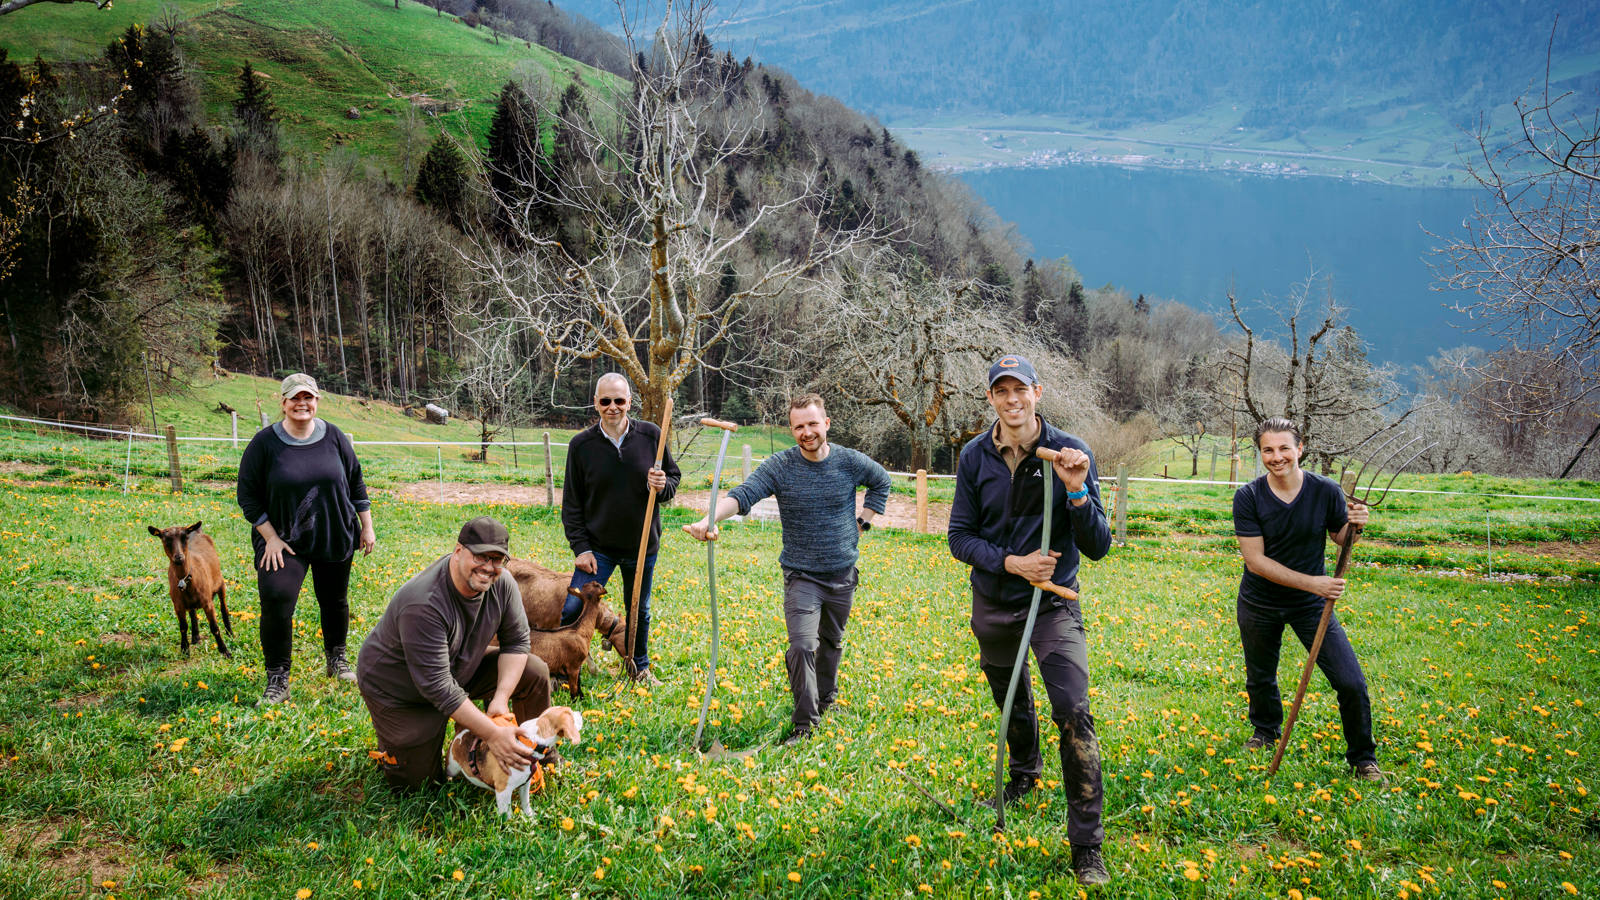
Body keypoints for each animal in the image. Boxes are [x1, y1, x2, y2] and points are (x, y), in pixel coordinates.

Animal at [147, 515, 230, 656]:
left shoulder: (207, 603)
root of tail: (197, 531)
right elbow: (183, 627)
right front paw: (184, 649)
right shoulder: (178, 606)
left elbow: (214, 627)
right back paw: (195, 637)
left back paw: (230, 633)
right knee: (192, 612)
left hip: (220, 582)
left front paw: (225, 650)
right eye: (165, 539)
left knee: (223, 607)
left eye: (184, 537)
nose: (179, 557)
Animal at [444, 704, 582, 816]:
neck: (529, 742)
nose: (580, 713)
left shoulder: (525, 784)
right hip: (451, 766)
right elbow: (507, 814)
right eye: (571, 713)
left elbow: (526, 802)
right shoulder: (503, 791)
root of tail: (460, 732)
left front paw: (530, 817)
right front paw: (508, 827)